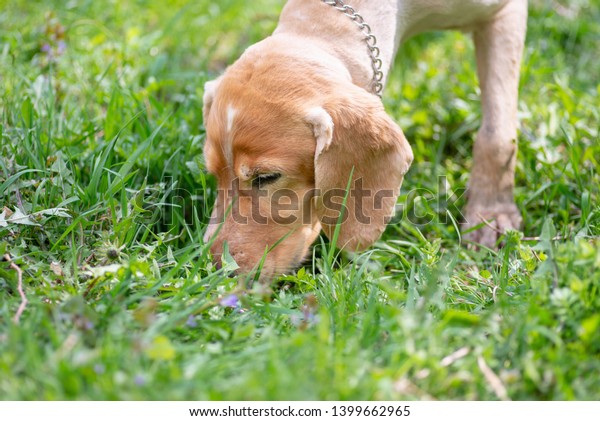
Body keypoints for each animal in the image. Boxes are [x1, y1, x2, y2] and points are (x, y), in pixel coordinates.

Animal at [200, 0, 524, 282]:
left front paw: (491, 212)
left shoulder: (504, 13)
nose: (215, 270)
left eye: (267, 177)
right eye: (214, 174)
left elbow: (496, 135)